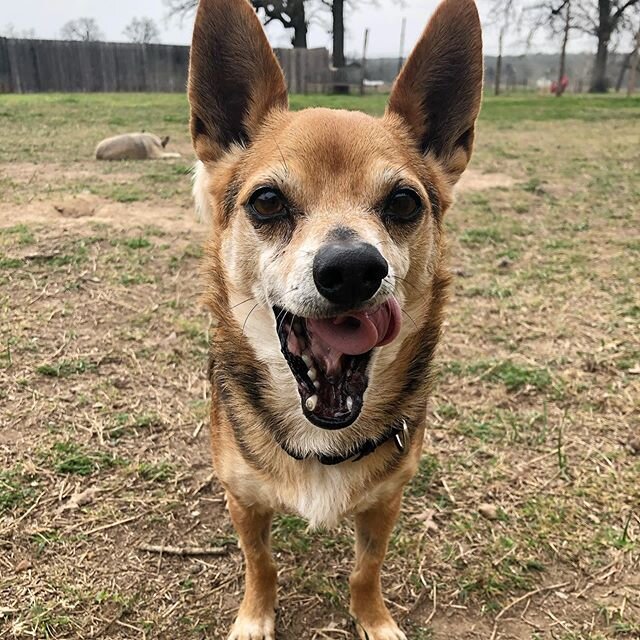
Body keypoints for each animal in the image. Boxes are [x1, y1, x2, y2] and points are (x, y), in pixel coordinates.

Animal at [188, 2, 482, 636]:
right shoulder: (245, 501)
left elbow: (365, 570)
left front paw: (374, 618)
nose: (351, 269)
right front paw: (255, 617)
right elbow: (261, 563)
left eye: (404, 203)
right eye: (267, 201)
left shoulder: (385, 503)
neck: (322, 437)